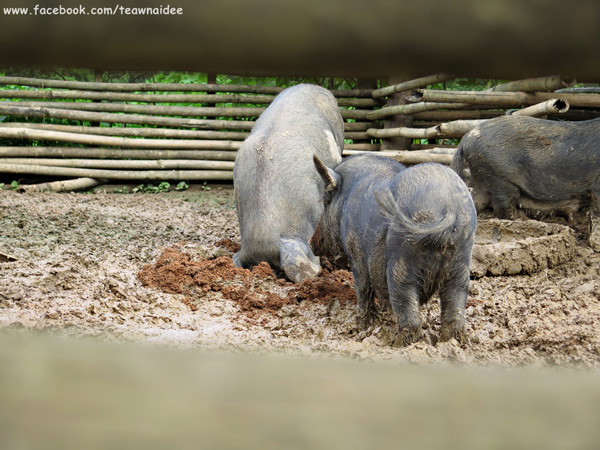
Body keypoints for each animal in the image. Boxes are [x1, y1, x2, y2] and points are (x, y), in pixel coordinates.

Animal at [312, 154, 476, 344]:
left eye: (326, 201)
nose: (312, 242)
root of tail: (449, 208)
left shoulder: (356, 255)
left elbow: (363, 288)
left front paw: (363, 326)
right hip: (462, 259)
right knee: (455, 308)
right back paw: (451, 342)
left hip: (403, 257)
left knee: (409, 311)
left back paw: (397, 343)